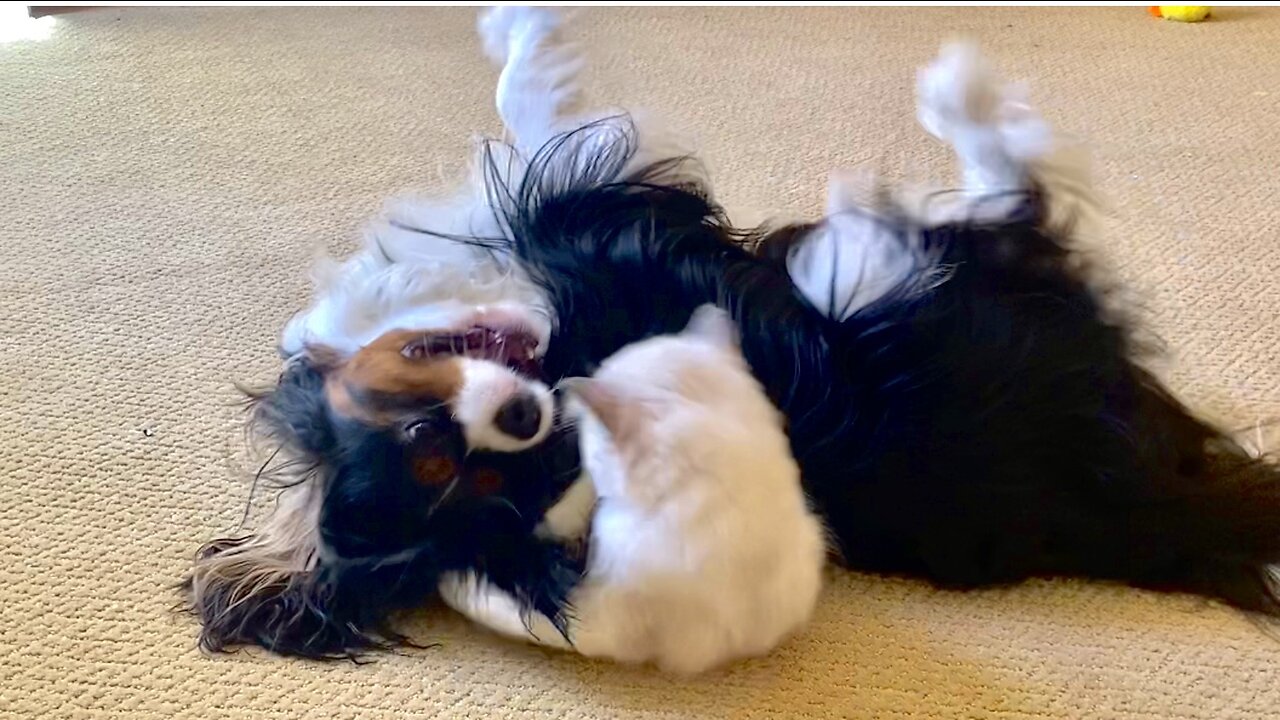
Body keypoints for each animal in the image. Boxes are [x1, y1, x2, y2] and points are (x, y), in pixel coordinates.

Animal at [435, 302, 824, 671]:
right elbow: (587, 489)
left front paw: (455, 583)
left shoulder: (607, 621)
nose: (562, 395)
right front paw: (556, 523)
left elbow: (525, 618)